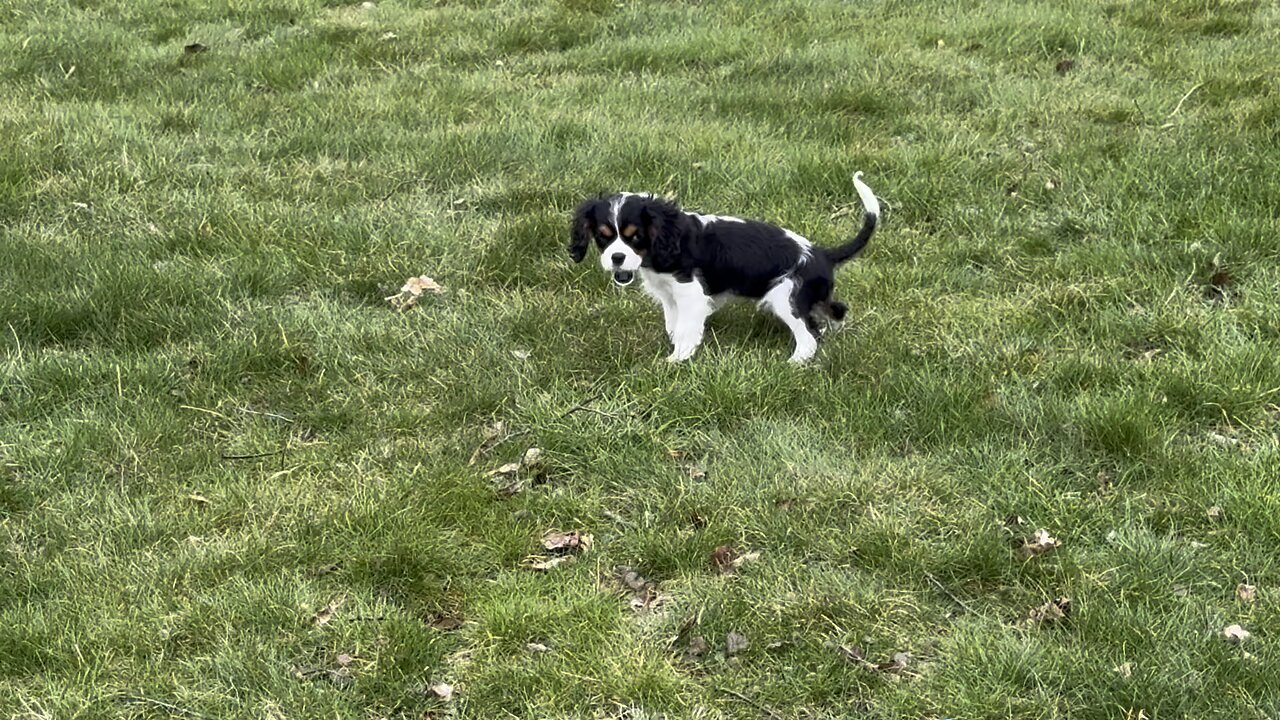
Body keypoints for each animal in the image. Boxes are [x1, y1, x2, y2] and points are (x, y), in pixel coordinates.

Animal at [570, 171, 880, 361]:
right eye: (603, 236)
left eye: (635, 237)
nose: (616, 257)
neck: (664, 240)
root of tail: (823, 254)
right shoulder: (669, 295)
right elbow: (674, 323)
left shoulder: (690, 293)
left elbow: (686, 328)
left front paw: (677, 358)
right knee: (834, 310)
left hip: (788, 298)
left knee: (809, 337)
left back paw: (793, 363)